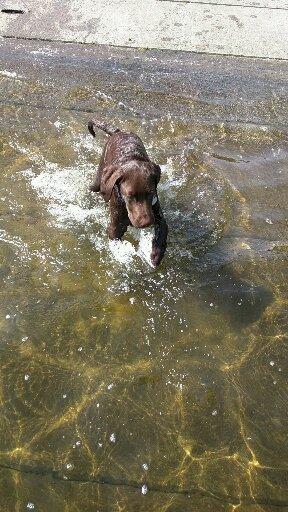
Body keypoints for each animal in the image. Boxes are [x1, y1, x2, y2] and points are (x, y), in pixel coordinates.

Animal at [89, 118, 168, 266]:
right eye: (130, 196)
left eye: (151, 193)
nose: (146, 223)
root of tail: (118, 132)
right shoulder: (116, 227)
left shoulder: (158, 214)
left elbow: (163, 230)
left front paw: (156, 254)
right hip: (98, 180)